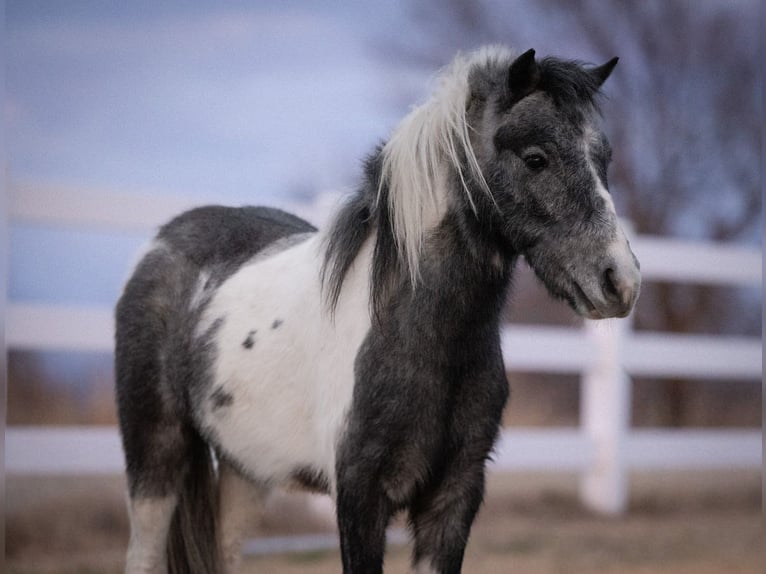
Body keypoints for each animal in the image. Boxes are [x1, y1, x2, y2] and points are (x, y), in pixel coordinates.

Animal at [115, 45, 640, 574]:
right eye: (536, 158)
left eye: (603, 159)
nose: (621, 281)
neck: (415, 334)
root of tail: (162, 240)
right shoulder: (359, 497)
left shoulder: (454, 499)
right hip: (156, 459)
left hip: (247, 470)